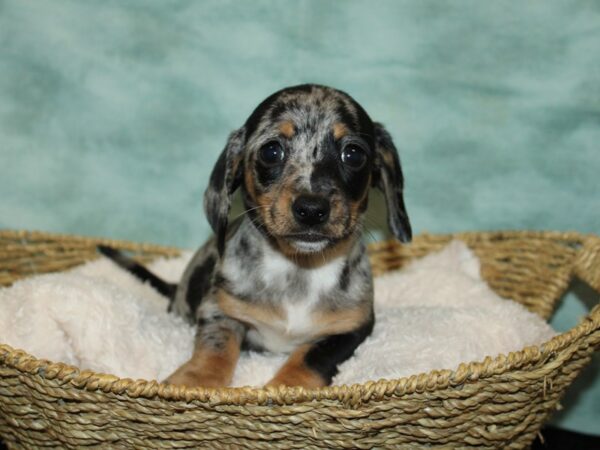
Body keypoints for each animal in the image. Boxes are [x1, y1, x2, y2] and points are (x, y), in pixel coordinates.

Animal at [101, 85, 410, 390]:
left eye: (353, 154)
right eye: (271, 151)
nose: (311, 209)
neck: (298, 270)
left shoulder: (350, 329)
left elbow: (311, 357)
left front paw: (287, 387)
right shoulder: (219, 310)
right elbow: (216, 348)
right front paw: (194, 382)